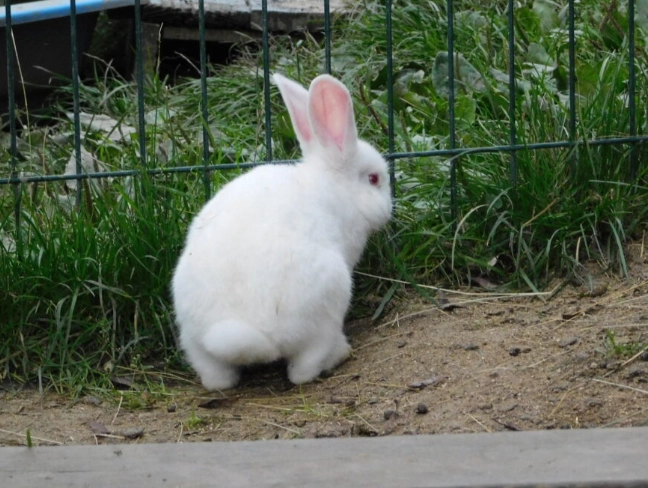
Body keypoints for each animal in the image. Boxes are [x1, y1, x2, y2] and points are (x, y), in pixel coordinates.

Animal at [171, 73, 392, 390]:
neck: (331, 182)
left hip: (194, 342)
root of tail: (254, 335)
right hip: (329, 301)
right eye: (374, 179)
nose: (388, 209)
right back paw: (339, 353)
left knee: (217, 379)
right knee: (303, 370)